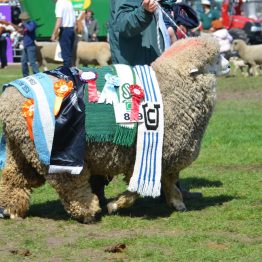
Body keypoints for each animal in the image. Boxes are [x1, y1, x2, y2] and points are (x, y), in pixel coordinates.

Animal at [0, 35, 229, 222]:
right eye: (214, 59)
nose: (228, 65)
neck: (174, 85)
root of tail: (8, 99)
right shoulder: (156, 150)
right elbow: (137, 188)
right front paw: (115, 205)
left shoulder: (164, 155)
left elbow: (169, 180)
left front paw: (177, 202)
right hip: (54, 149)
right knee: (69, 184)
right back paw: (87, 212)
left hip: (20, 147)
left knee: (13, 177)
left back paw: (12, 210)